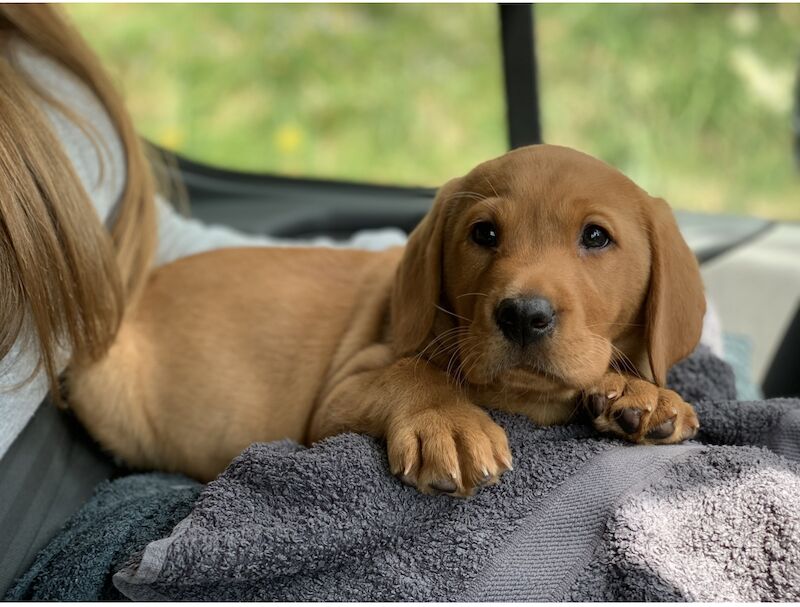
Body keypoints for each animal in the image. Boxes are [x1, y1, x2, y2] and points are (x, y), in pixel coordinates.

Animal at [69, 145, 708, 496]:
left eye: (596, 237)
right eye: (484, 234)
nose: (524, 315)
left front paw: (642, 393)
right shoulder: (338, 396)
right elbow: (413, 373)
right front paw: (447, 422)